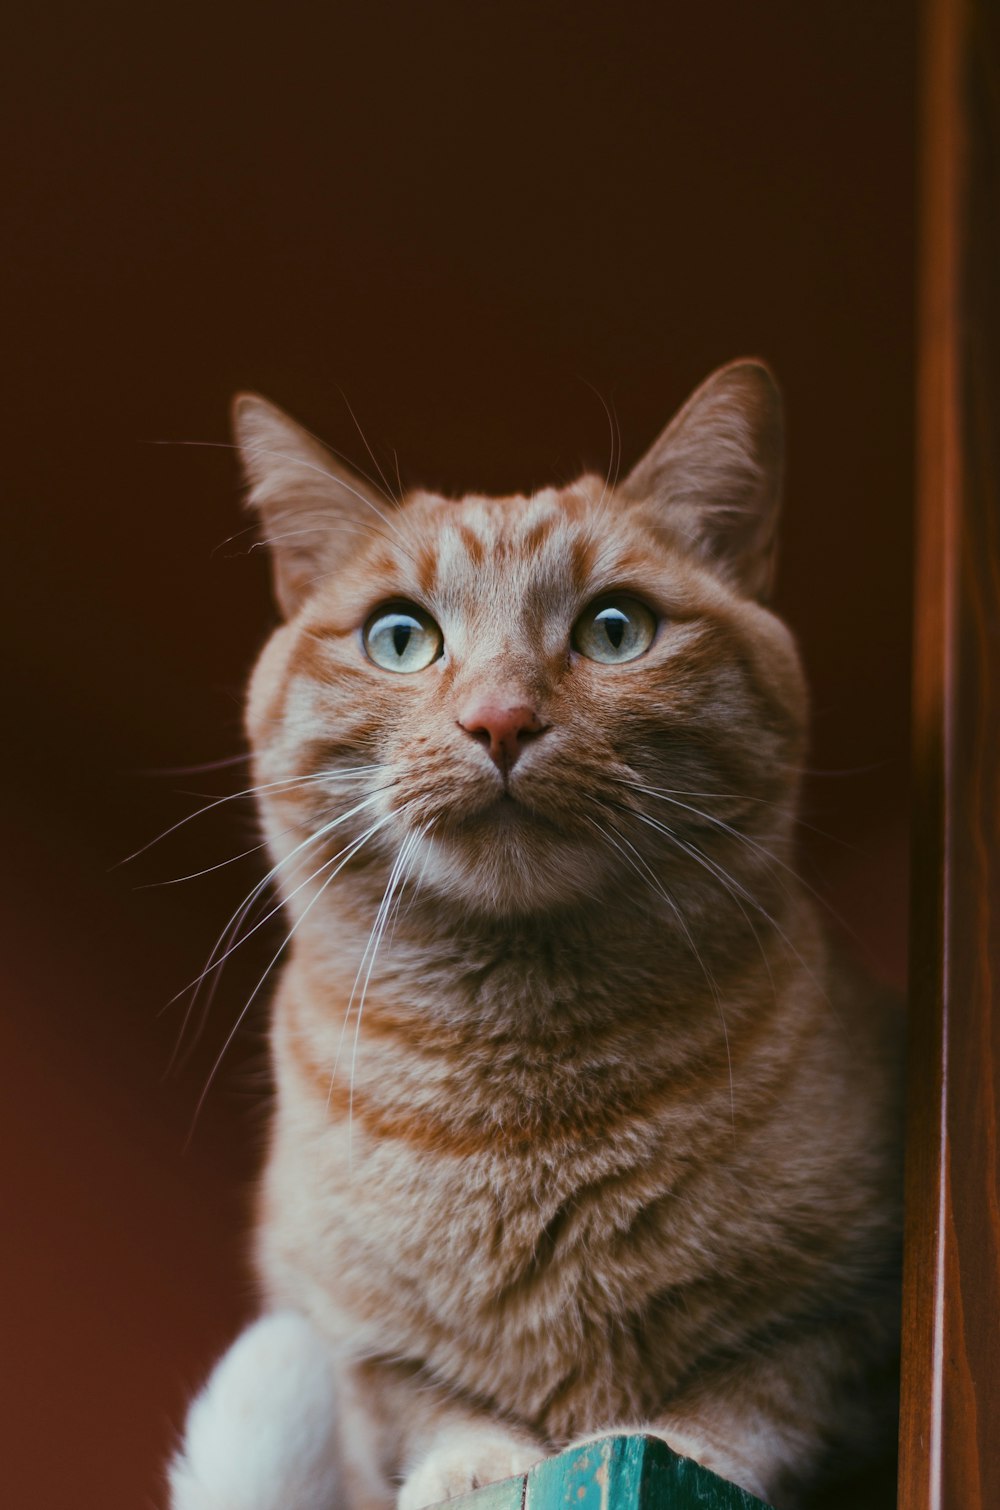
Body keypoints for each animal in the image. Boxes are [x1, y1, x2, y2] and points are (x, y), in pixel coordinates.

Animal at [170, 362, 906, 1510]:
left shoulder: (851, 1313)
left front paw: (685, 1441)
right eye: (399, 636)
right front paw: (472, 1465)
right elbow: (422, 1405)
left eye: (615, 629)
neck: (523, 1096)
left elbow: (759, 1396)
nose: (500, 718)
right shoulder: (347, 1334)